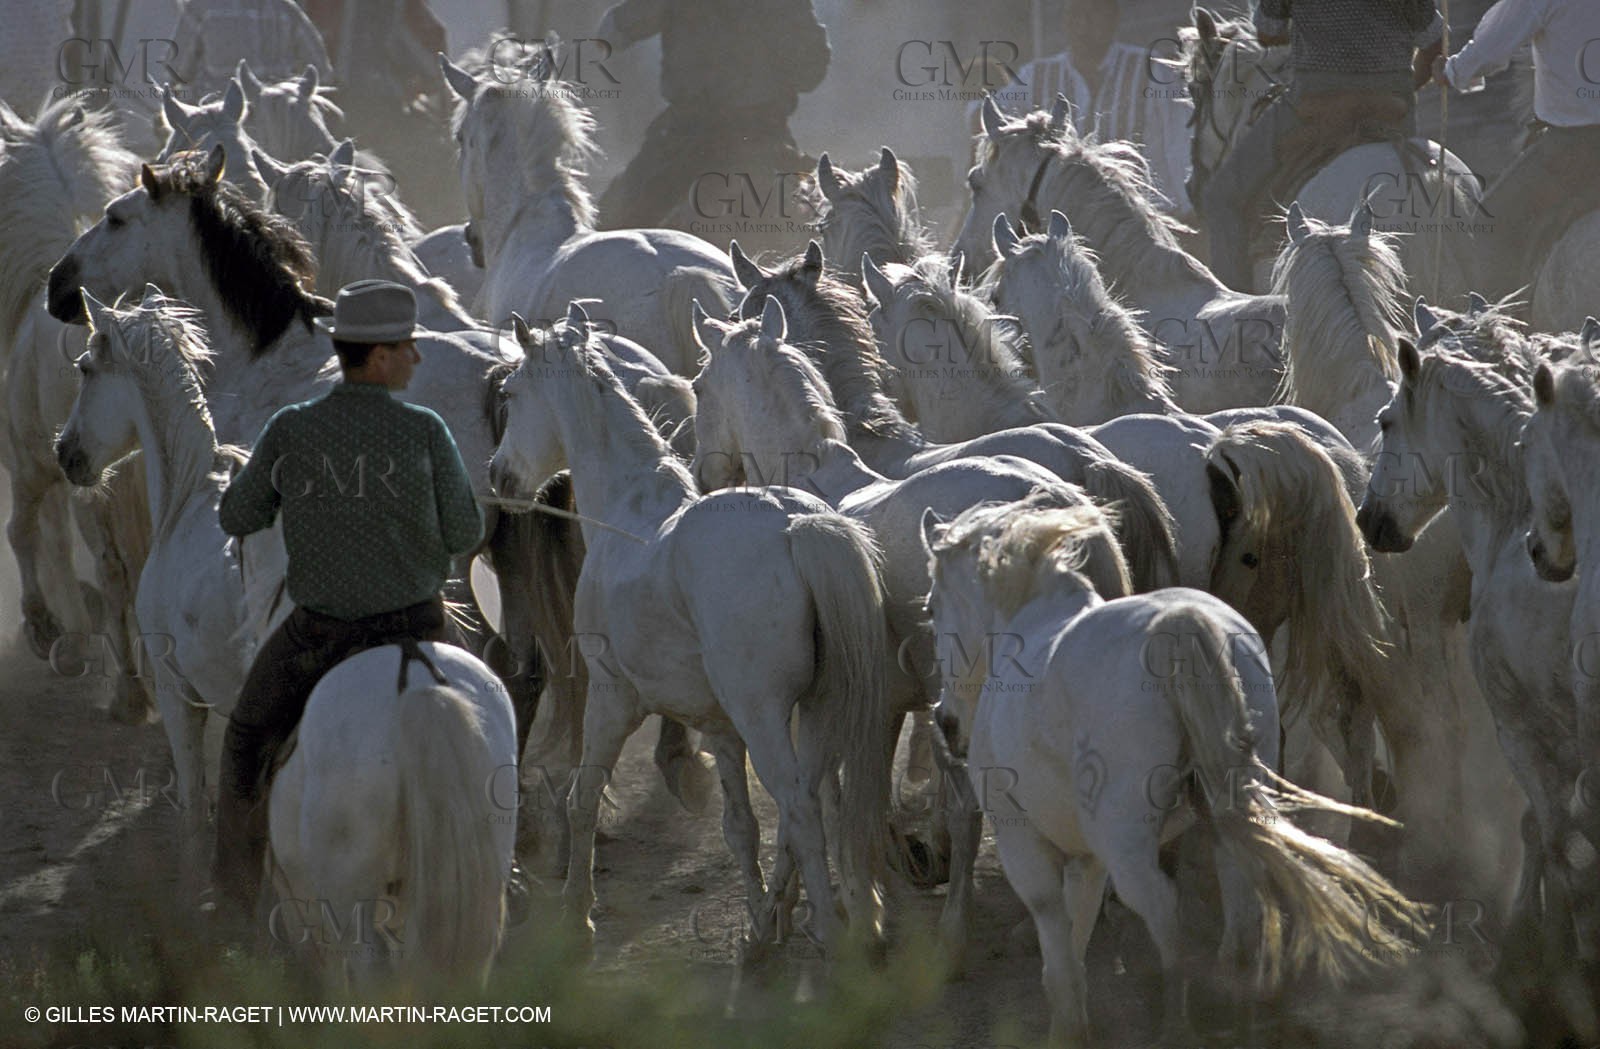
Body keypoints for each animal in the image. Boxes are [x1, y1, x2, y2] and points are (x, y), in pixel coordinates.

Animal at [489, 302, 892, 957]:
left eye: (512, 393)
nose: (499, 478)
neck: (628, 514)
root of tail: (797, 524)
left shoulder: (611, 698)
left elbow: (582, 799)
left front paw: (577, 915)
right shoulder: (721, 726)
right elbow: (740, 827)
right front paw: (756, 918)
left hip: (766, 718)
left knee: (803, 812)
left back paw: (832, 936)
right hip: (820, 709)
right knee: (826, 805)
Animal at [922, 497, 1425, 1048]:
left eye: (931, 607)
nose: (946, 723)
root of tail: (1180, 625)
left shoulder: (1025, 846)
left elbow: (1059, 948)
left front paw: (1068, 1028)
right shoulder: (1087, 858)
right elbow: (1078, 931)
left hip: (1128, 850)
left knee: (1165, 910)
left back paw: (1176, 1025)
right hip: (1226, 822)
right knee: (1242, 912)